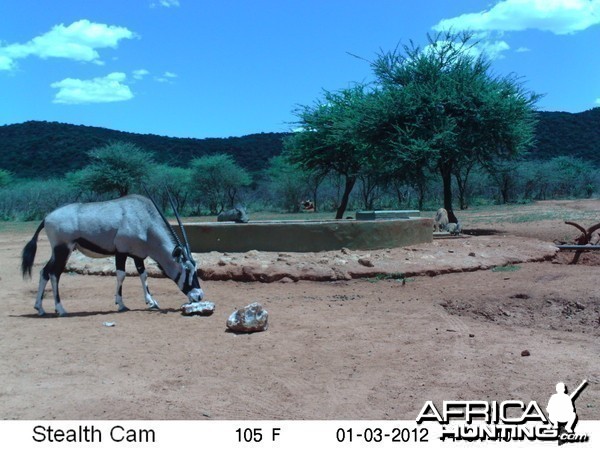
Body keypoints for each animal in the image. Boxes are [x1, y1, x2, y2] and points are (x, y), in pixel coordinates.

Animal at [21, 193, 205, 316]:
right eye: (186, 269)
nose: (199, 295)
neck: (145, 220)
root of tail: (46, 218)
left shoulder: (138, 255)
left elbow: (143, 275)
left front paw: (151, 302)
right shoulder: (121, 252)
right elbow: (121, 275)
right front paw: (121, 304)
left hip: (58, 252)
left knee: (44, 271)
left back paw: (40, 308)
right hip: (63, 250)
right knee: (54, 273)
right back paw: (60, 309)